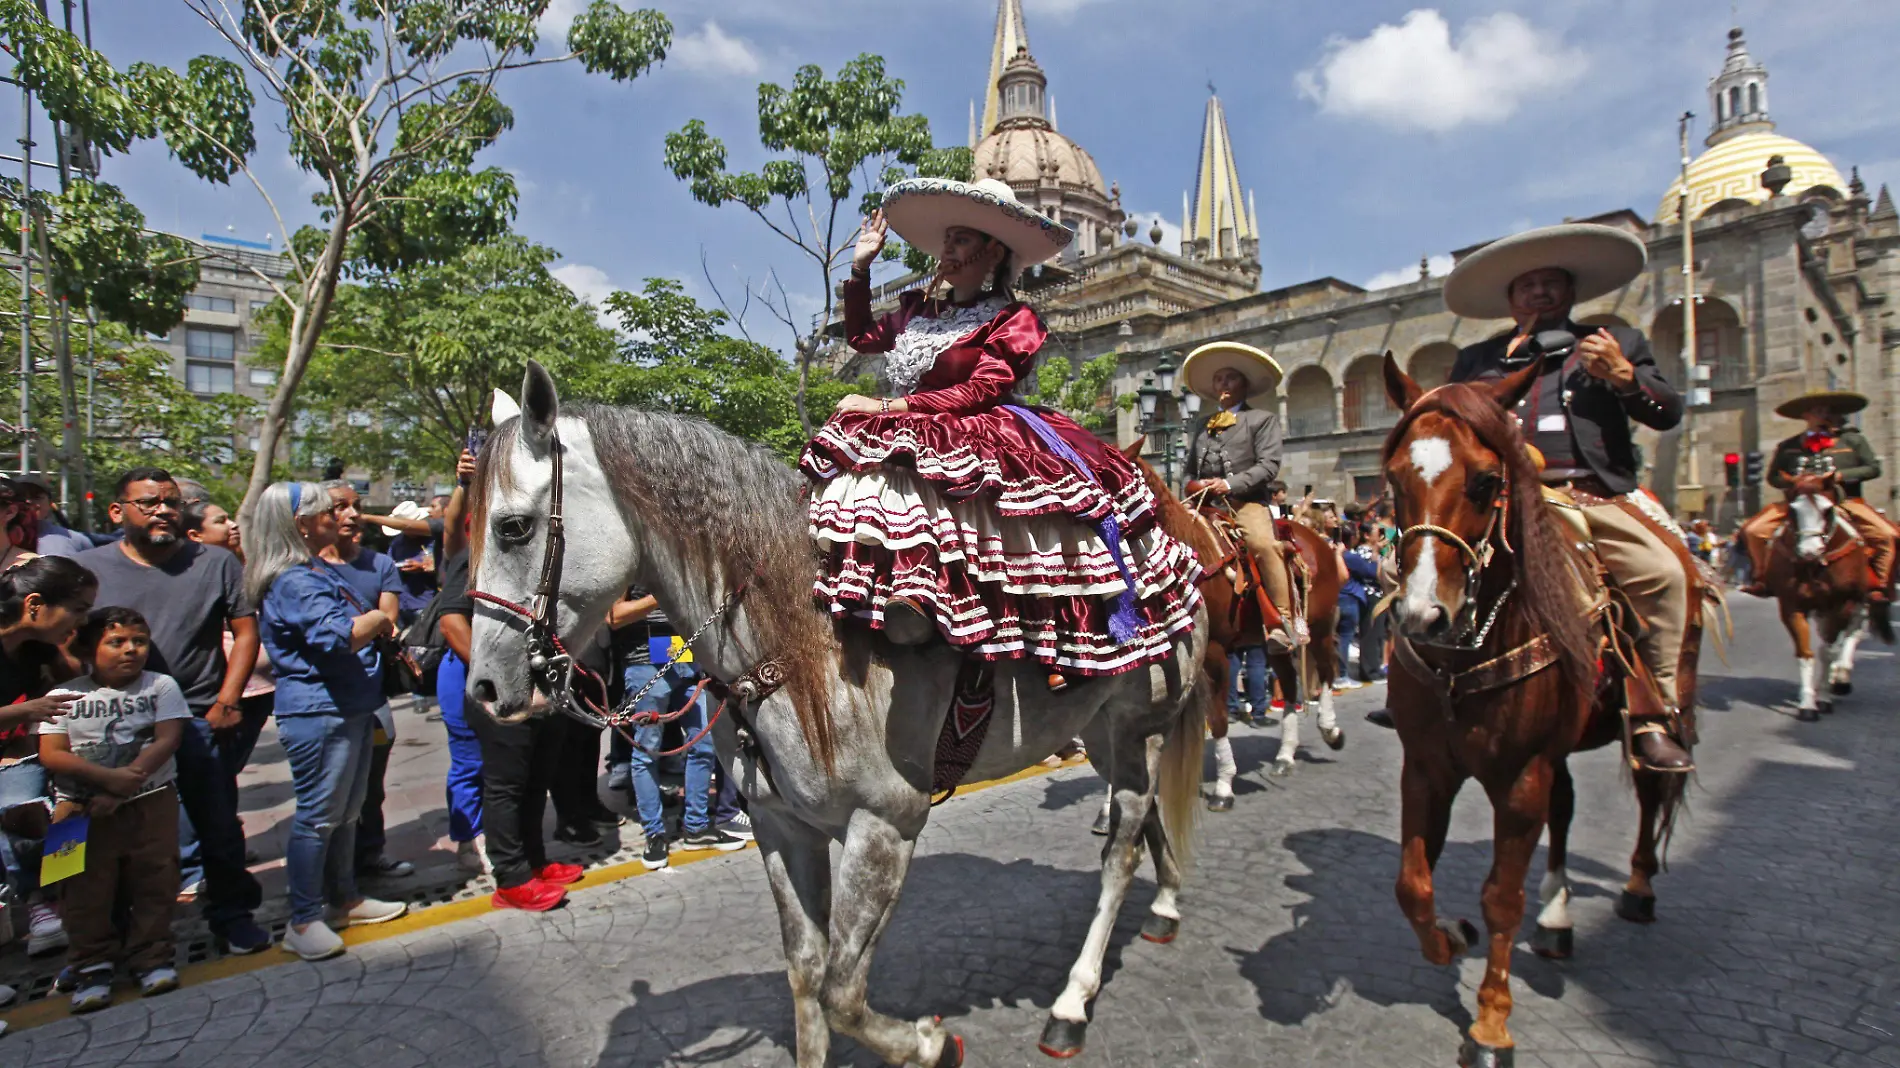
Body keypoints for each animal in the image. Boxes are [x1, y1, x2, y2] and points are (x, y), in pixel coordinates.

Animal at [463, 361, 1200, 1056]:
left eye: (514, 528)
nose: (485, 690)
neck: (800, 642)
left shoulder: (885, 827)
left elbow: (842, 994)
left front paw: (930, 1044)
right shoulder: (783, 827)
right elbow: (808, 976)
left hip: (1140, 728)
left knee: (1122, 851)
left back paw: (1072, 1004)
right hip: (1100, 733)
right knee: (1143, 822)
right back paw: (1166, 907)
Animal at [1117, 440, 1345, 805]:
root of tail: (1318, 539)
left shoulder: (1214, 653)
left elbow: (1219, 718)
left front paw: (1224, 785)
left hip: (1321, 626)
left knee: (1325, 670)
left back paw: (1330, 729)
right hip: (1274, 642)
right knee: (1289, 683)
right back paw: (1285, 755)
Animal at [1375, 357, 1687, 1064]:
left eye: (1488, 481)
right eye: (1394, 477)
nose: (1421, 615)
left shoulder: (1520, 777)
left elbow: (1501, 898)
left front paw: (1491, 1025)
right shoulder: (1426, 767)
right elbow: (1413, 885)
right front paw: (1449, 937)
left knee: (1650, 786)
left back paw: (1637, 888)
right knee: (1565, 810)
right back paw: (1558, 915)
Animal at [1755, 486, 1892, 718]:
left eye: (1828, 510)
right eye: (1792, 510)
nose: (1809, 552)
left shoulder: (1841, 605)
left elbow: (1829, 651)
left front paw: (1825, 697)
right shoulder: (1792, 606)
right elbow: (1806, 652)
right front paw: (1808, 703)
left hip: (1859, 604)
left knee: (1851, 636)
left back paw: (1840, 679)